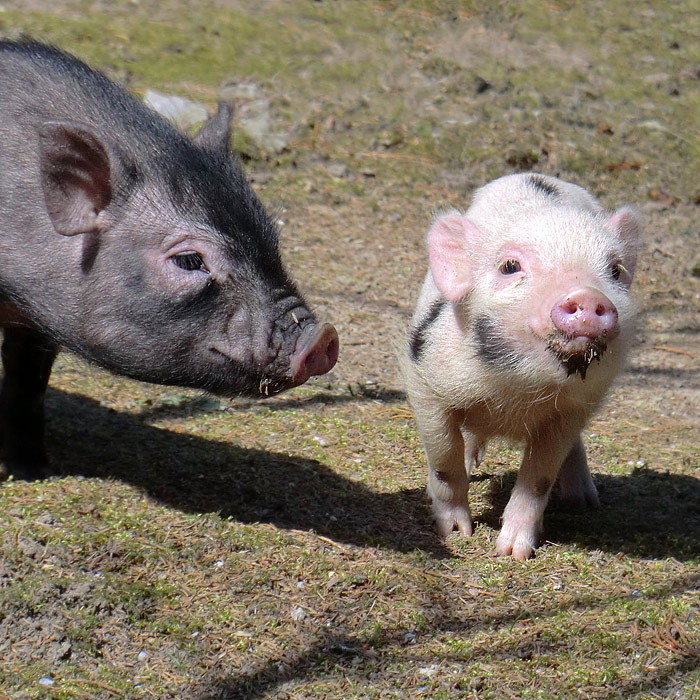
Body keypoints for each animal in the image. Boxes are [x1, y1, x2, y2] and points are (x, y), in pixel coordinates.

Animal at [0, 41, 340, 478]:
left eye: (271, 237)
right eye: (190, 261)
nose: (323, 335)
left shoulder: (34, 324)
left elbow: (28, 387)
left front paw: (35, 471)